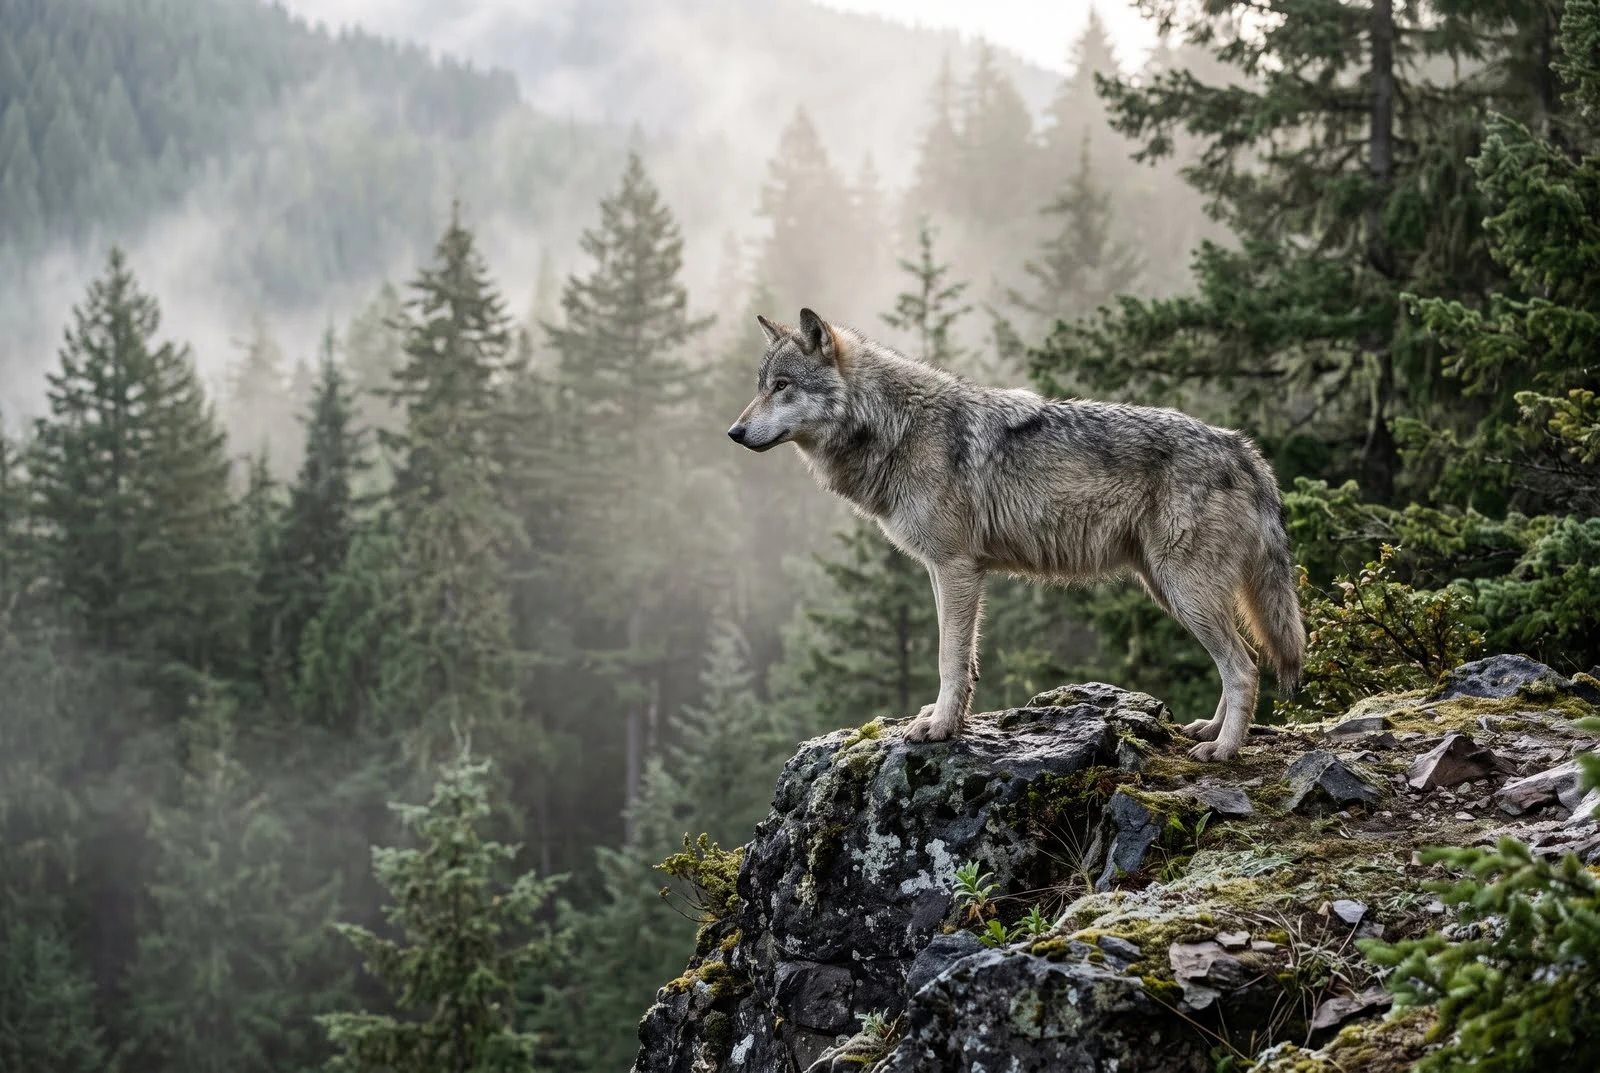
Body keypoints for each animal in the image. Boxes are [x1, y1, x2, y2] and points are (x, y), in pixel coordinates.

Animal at [727, 308, 1305, 762]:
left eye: (782, 386)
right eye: (760, 386)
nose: (733, 432)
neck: (897, 428)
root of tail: (1243, 448)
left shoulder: (957, 567)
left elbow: (949, 658)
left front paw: (939, 729)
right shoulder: (943, 570)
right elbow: (963, 660)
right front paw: (947, 719)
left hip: (1185, 592)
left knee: (1244, 668)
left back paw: (1224, 750)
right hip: (1171, 590)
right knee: (1241, 665)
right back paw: (1210, 730)